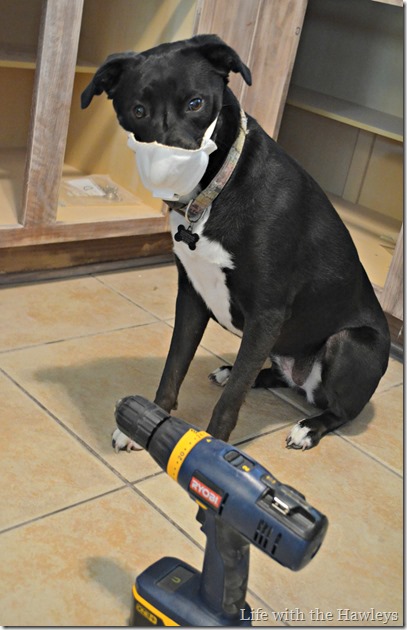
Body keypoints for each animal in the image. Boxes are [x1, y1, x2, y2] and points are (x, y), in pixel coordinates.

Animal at [81, 35, 390, 450]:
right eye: (139, 110)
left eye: (196, 103)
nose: (173, 167)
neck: (216, 190)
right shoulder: (192, 296)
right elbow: (174, 368)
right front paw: (149, 424)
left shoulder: (267, 314)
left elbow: (229, 402)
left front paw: (212, 445)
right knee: (269, 375)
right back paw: (237, 371)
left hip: (350, 344)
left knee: (339, 410)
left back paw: (309, 427)